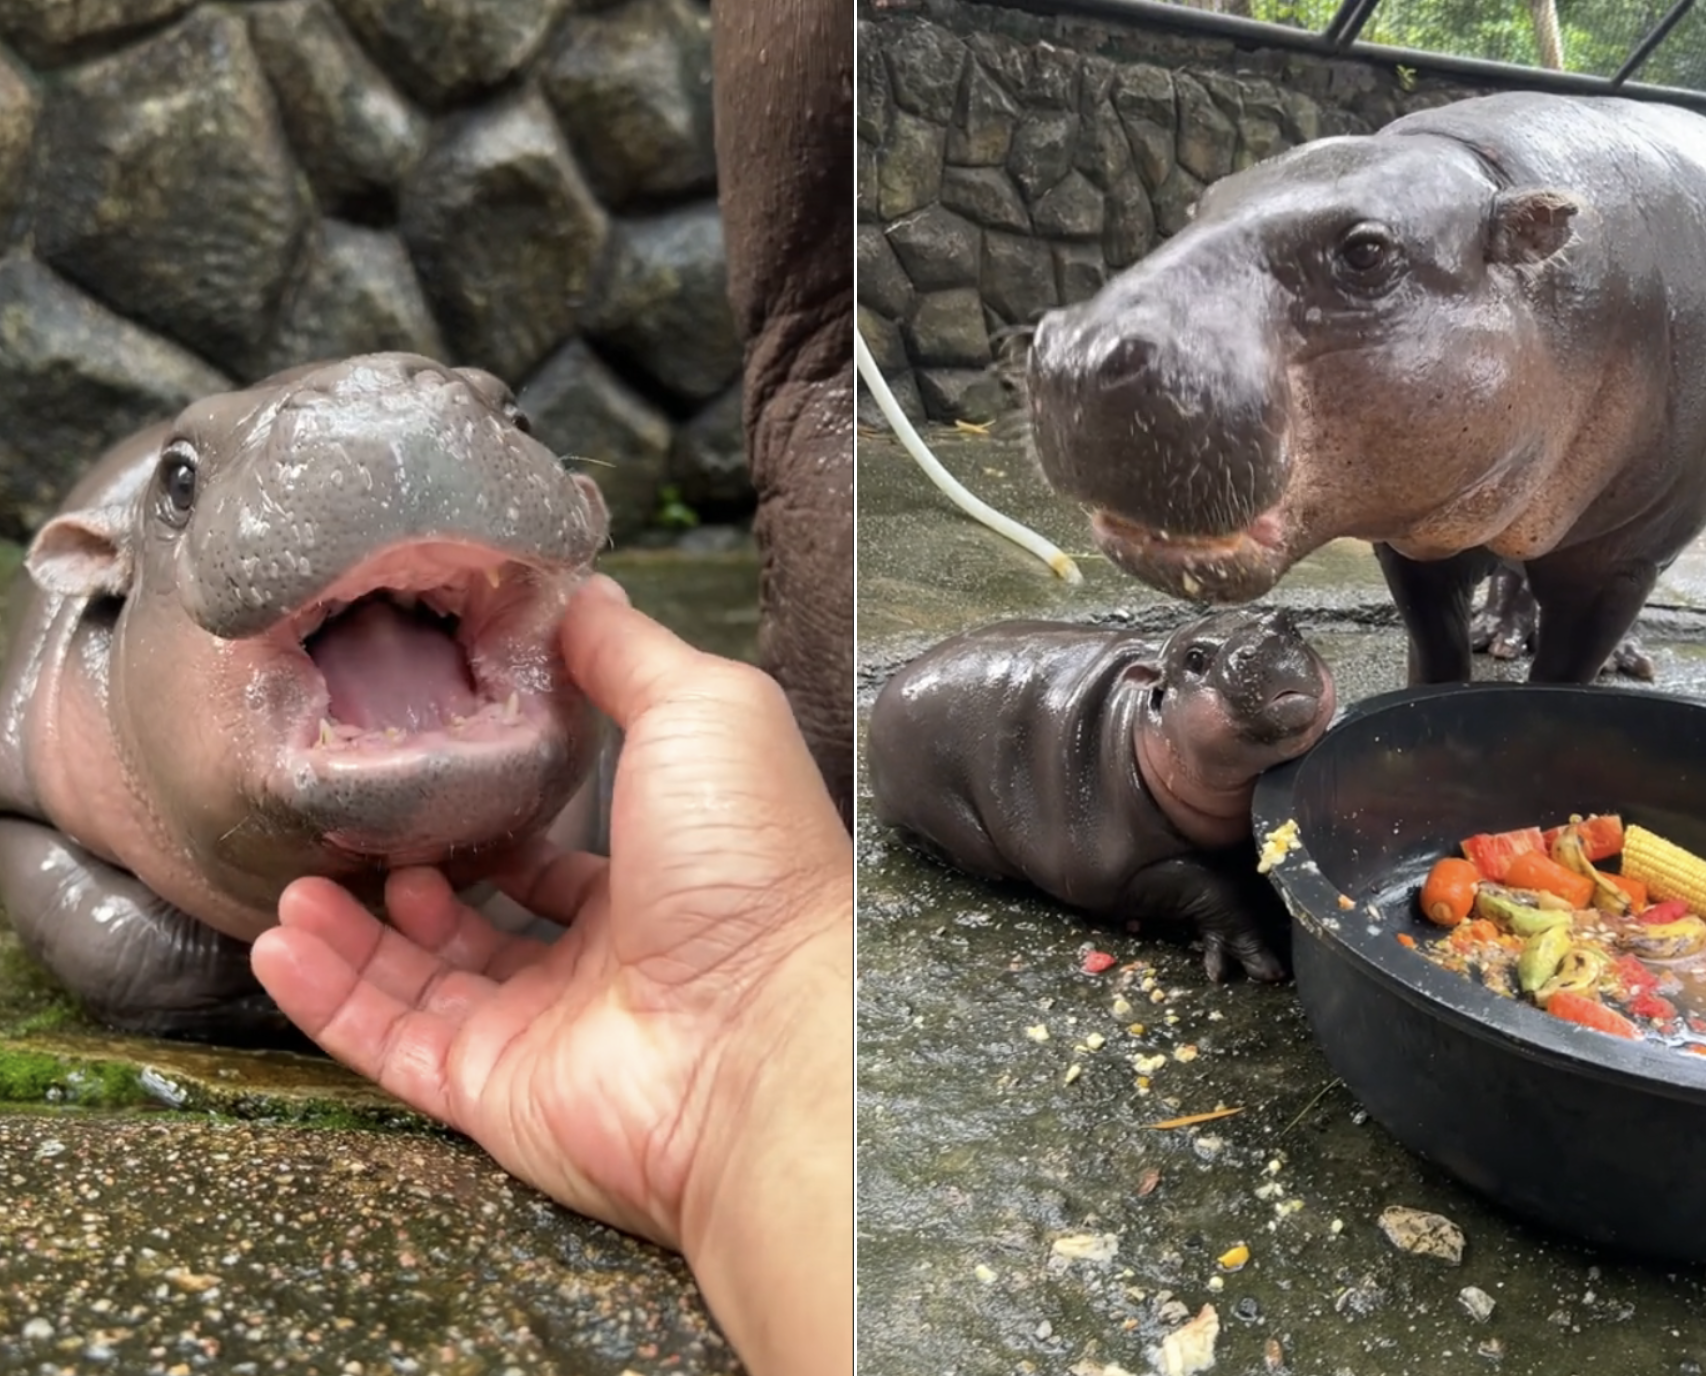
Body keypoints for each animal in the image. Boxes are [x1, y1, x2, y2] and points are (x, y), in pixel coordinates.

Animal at [866, 610, 1330, 982]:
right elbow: (1205, 883)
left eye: (1288, 623)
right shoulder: (1110, 874)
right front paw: (1257, 962)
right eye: (1195, 658)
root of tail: (890, 687)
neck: (1133, 725)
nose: (1267, 643)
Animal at [1023, 91, 1706, 688]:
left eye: (1366, 251)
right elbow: (1436, 653)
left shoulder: (1622, 561)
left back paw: (1625, 659)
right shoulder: (1412, 539)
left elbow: (1565, 673)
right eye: (1200, 206)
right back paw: (1500, 635)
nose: (1077, 353)